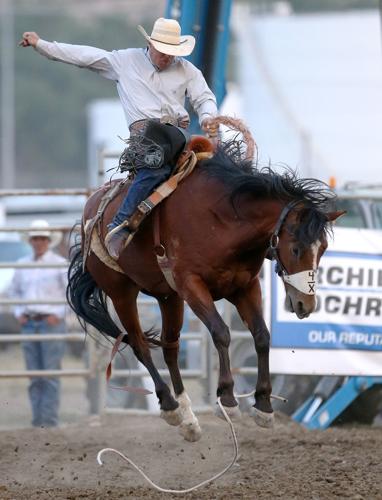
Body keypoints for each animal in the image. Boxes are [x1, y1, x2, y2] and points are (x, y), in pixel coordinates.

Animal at [66, 134, 344, 442]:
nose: (305, 304)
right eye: (295, 249)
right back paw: (170, 406)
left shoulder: (245, 287)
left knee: (170, 348)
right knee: (140, 346)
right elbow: (221, 333)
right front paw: (228, 399)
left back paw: (188, 419)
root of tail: (91, 208)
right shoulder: (192, 286)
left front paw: (263, 405)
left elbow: (262, 336)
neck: (223, 220)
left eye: (324, 248)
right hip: (121, 292)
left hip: (168, 297)